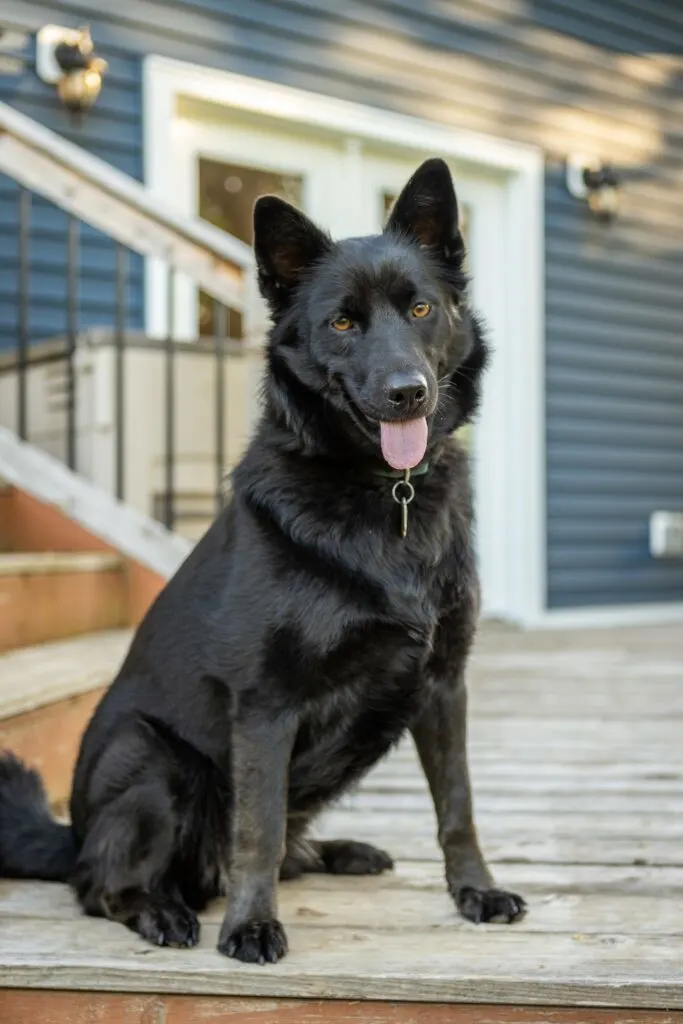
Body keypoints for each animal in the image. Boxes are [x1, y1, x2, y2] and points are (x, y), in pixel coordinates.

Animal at [0, 157, 524, 958]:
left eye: (421, 310)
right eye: (341, 323)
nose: (408, 393)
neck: (385, 493)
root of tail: (74, 835)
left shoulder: (443, 687)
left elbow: (457, 807)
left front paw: (476, 891)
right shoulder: (265, 704)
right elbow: (257, 831)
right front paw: (250, 925)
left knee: (287, 843)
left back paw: (337, 851)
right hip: (154, 758)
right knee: (99, 886)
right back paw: (159, 910)